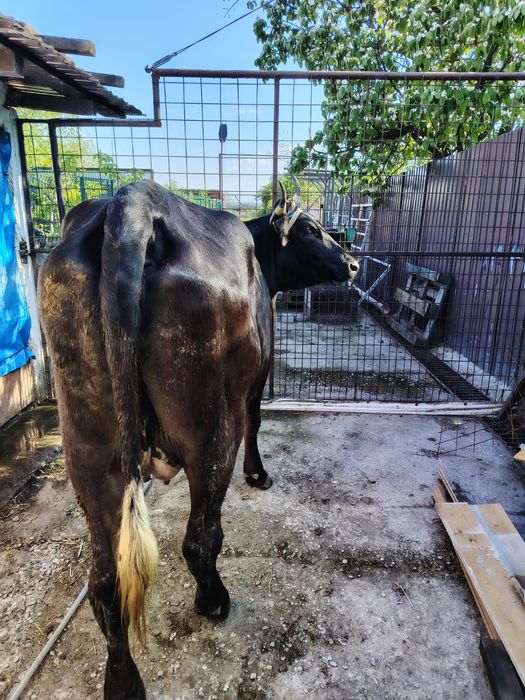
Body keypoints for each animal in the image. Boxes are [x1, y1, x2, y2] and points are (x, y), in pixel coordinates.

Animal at [38, 179, 358, 699]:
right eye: (311, 229)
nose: (352, 264)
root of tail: (134, 201)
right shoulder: (255, 382)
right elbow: (256, 421)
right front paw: (258, 474)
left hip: (87, 445)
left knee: (105, 577)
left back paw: (122, 680)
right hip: (211, 430)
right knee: (199, 537)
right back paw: (213, 600)